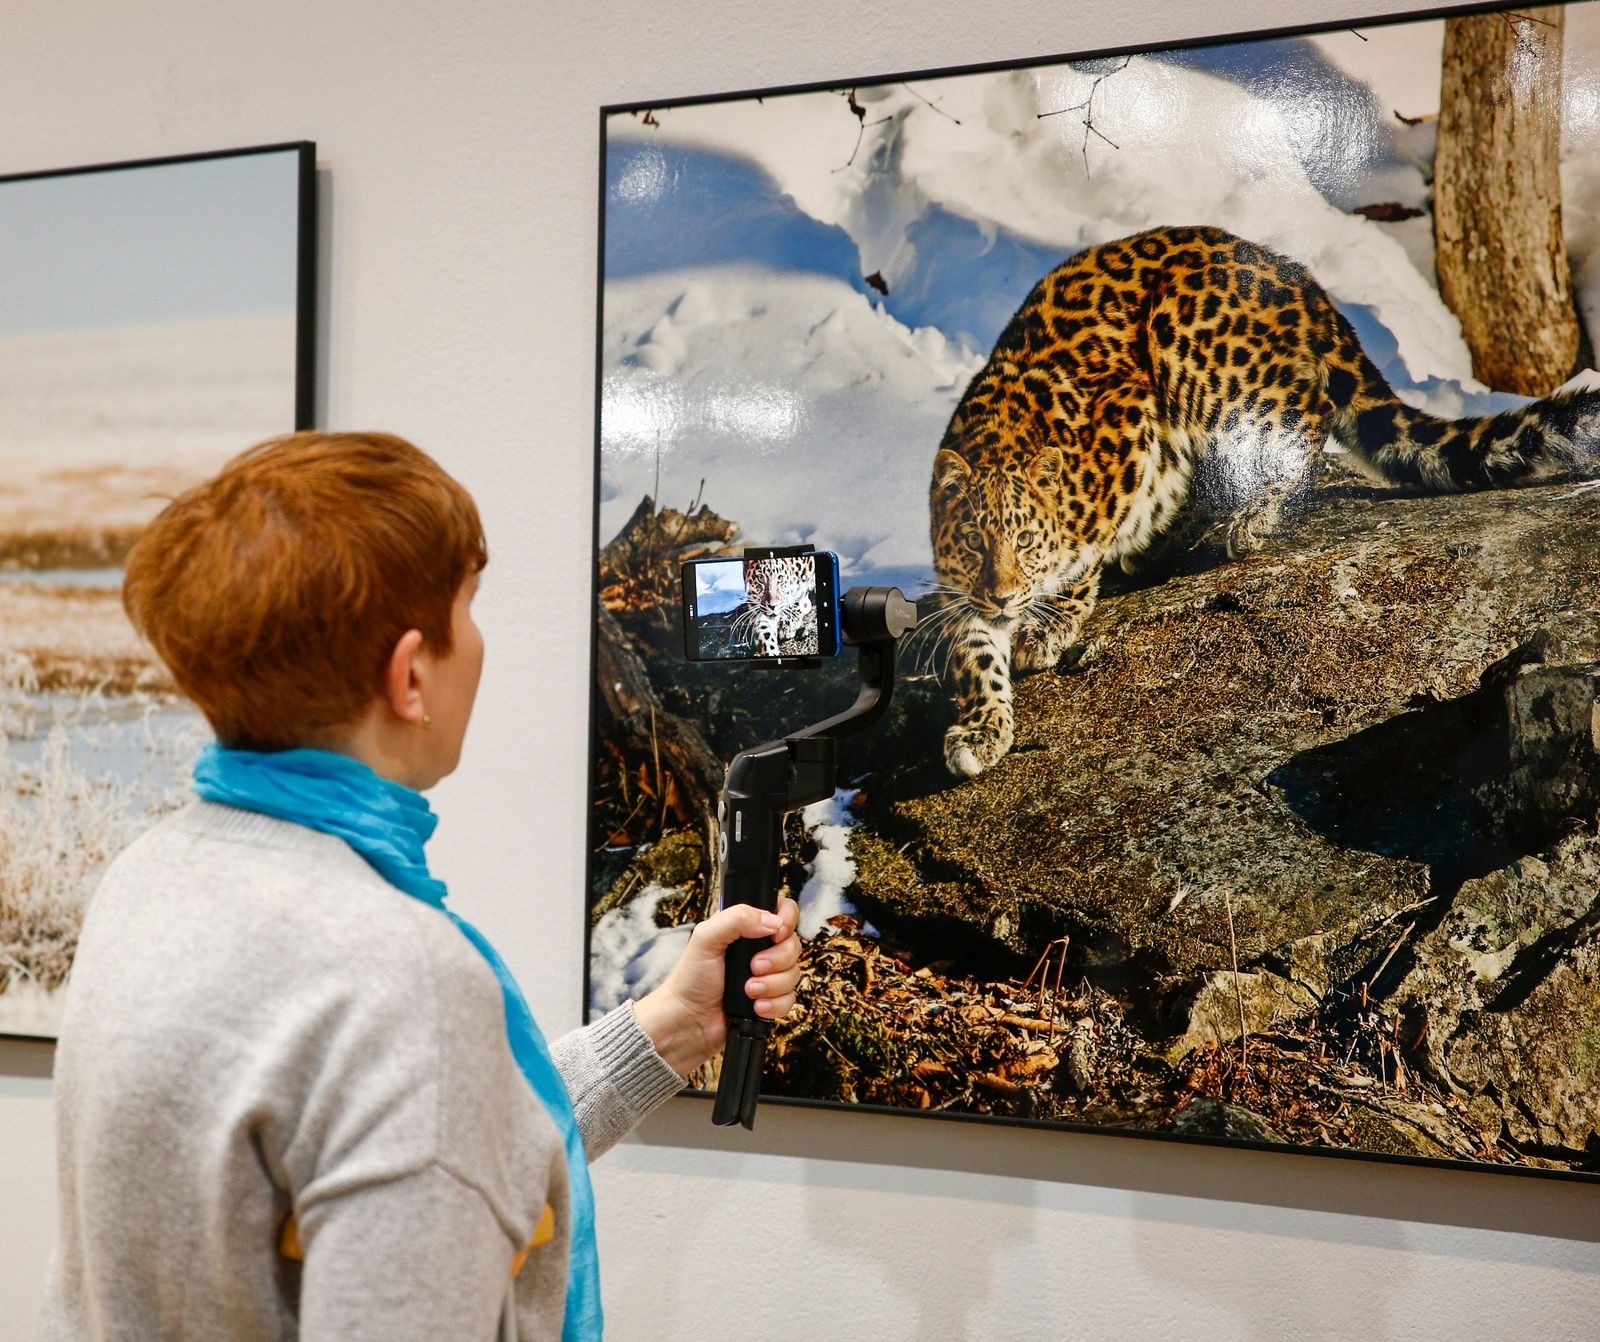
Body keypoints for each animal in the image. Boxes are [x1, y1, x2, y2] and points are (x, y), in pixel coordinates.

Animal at [934, 227, 1593, 780]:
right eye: (973, 543)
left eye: (1026, 540)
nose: (1003, 595)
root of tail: (1301, 279)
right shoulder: (959, 589)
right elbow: (974, 653)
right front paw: (981, 732)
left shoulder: (1130, 433)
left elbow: (1084, 554)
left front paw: (1050, 624)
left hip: (1188, 346)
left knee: (1304, 415)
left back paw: (1245, 519)